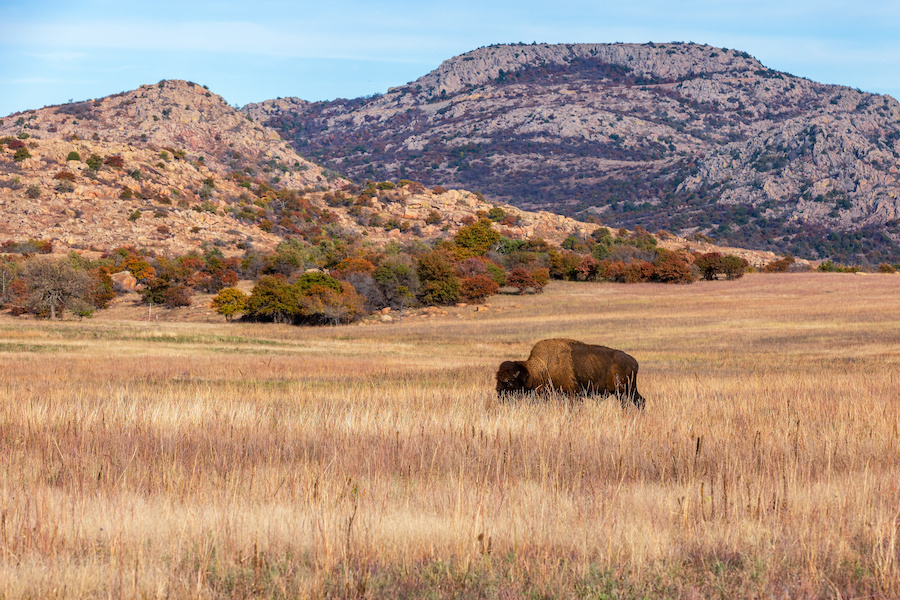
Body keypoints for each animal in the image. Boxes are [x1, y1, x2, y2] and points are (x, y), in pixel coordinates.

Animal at [496, 338, 644, 408]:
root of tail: (634, 362)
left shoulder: (573, 395)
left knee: (639, 401)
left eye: (509, 382)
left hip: (627, 390)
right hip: (622, 393)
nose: (499, 395)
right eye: (497, 379)